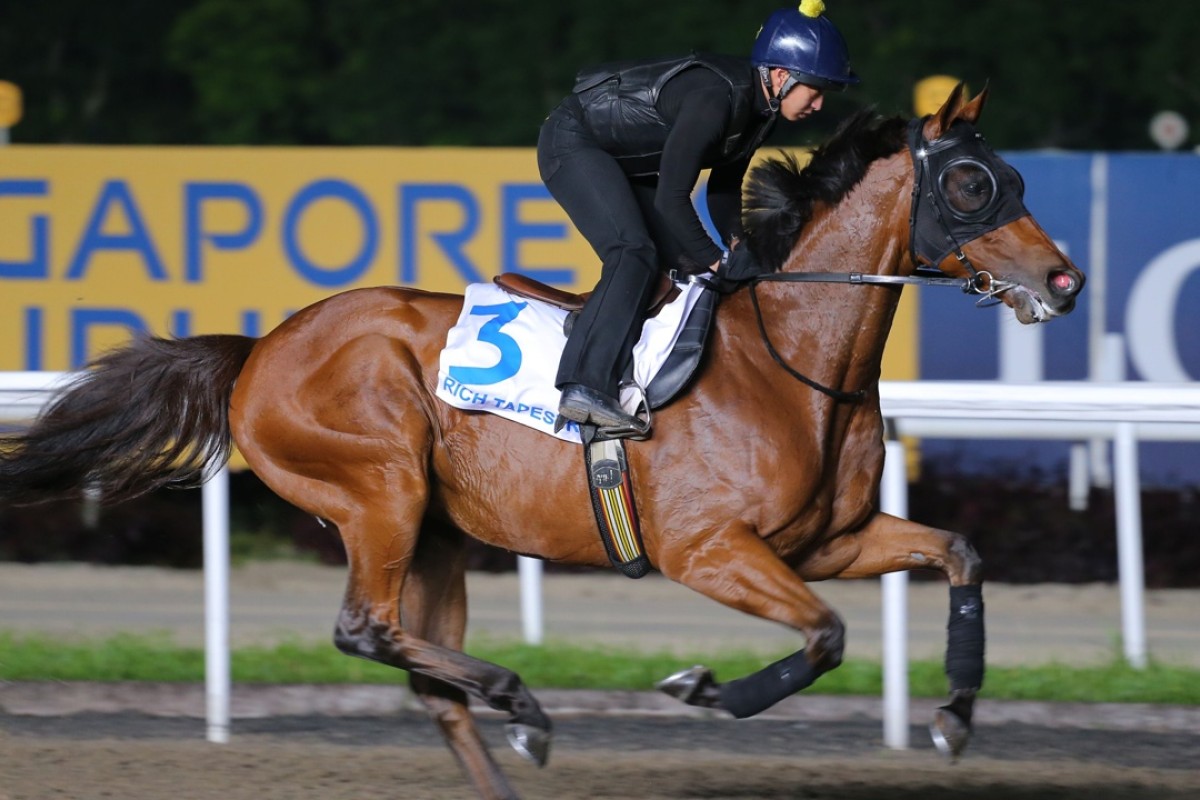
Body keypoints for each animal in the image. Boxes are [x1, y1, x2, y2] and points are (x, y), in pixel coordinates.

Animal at [0, 84, 1084, 796]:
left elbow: (959, 553)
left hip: (434, 530)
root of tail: (260, 347)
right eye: (975, 183)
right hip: (379, 489)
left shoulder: (831, 540)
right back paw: (521, 702)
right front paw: (702, 688)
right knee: (366, 630)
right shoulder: (708, 550)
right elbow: (824, 636)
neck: (790, 361)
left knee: (426, 676)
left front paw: (954, 717)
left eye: (1016, 174)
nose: (1065, 280)